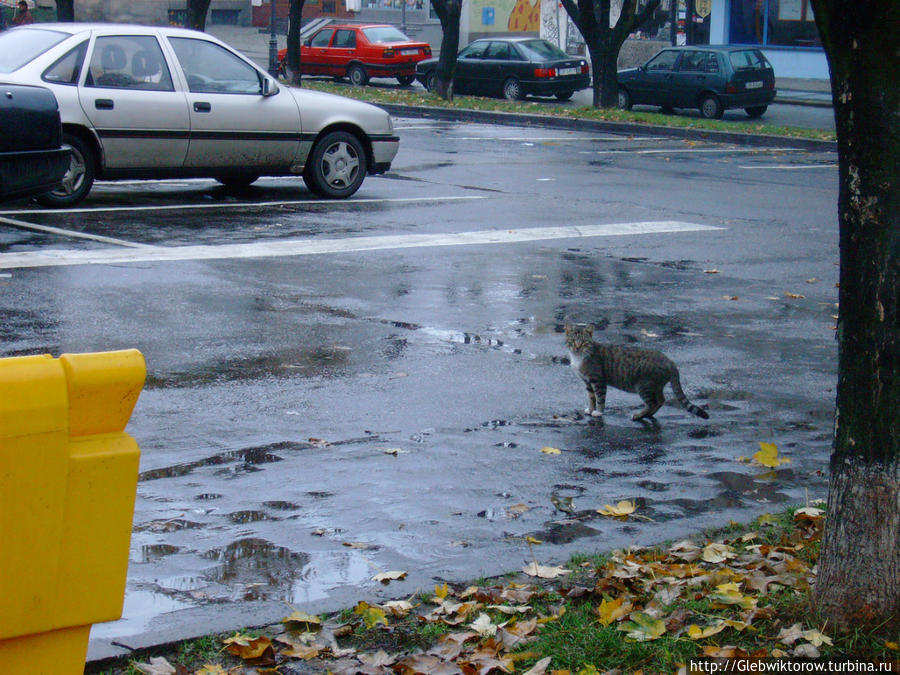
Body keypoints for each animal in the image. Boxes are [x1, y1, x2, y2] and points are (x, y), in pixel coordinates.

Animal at [568, 324, 708, 422]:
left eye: (584, 342)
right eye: (573, 341)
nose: (577, 347)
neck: (579, 357)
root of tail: (669, 360)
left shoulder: (598, 380)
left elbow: (600, 397)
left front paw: (598, 412)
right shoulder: (587, 381)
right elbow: (591, 397)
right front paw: (591, 409)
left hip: (643, 385)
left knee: (652, 402)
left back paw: (639, 415)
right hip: (655, 385)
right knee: (660, 400)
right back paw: (648, 415)